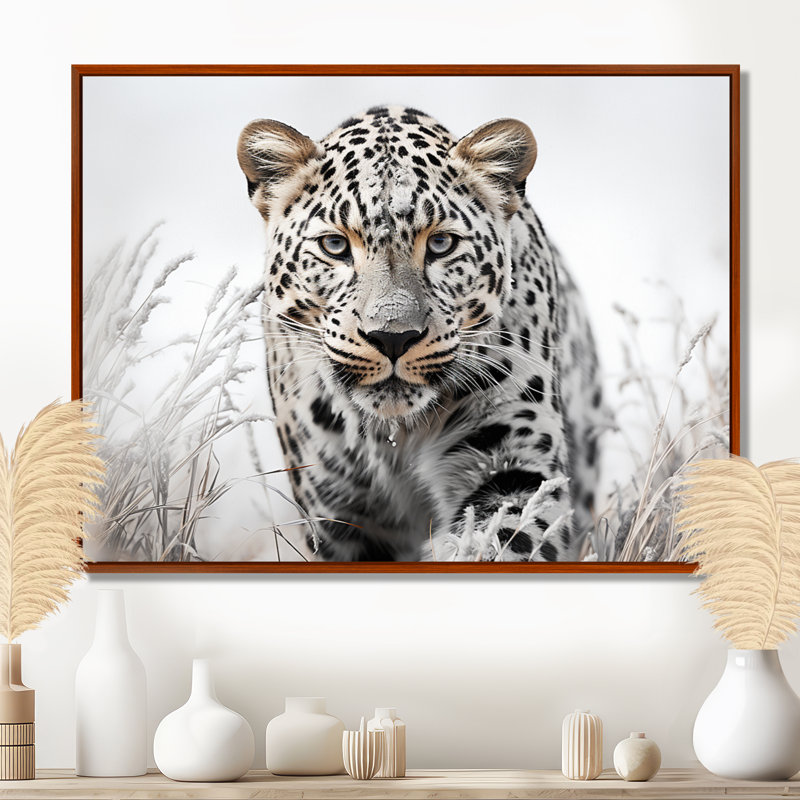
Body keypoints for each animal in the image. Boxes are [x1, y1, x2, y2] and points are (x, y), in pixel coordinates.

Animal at [237, 105, 605, 561]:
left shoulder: (514, 463)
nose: (392, 337)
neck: (395, 438)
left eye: (442, 244)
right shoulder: (336, 508)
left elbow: (498, 540)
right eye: (335, 247)